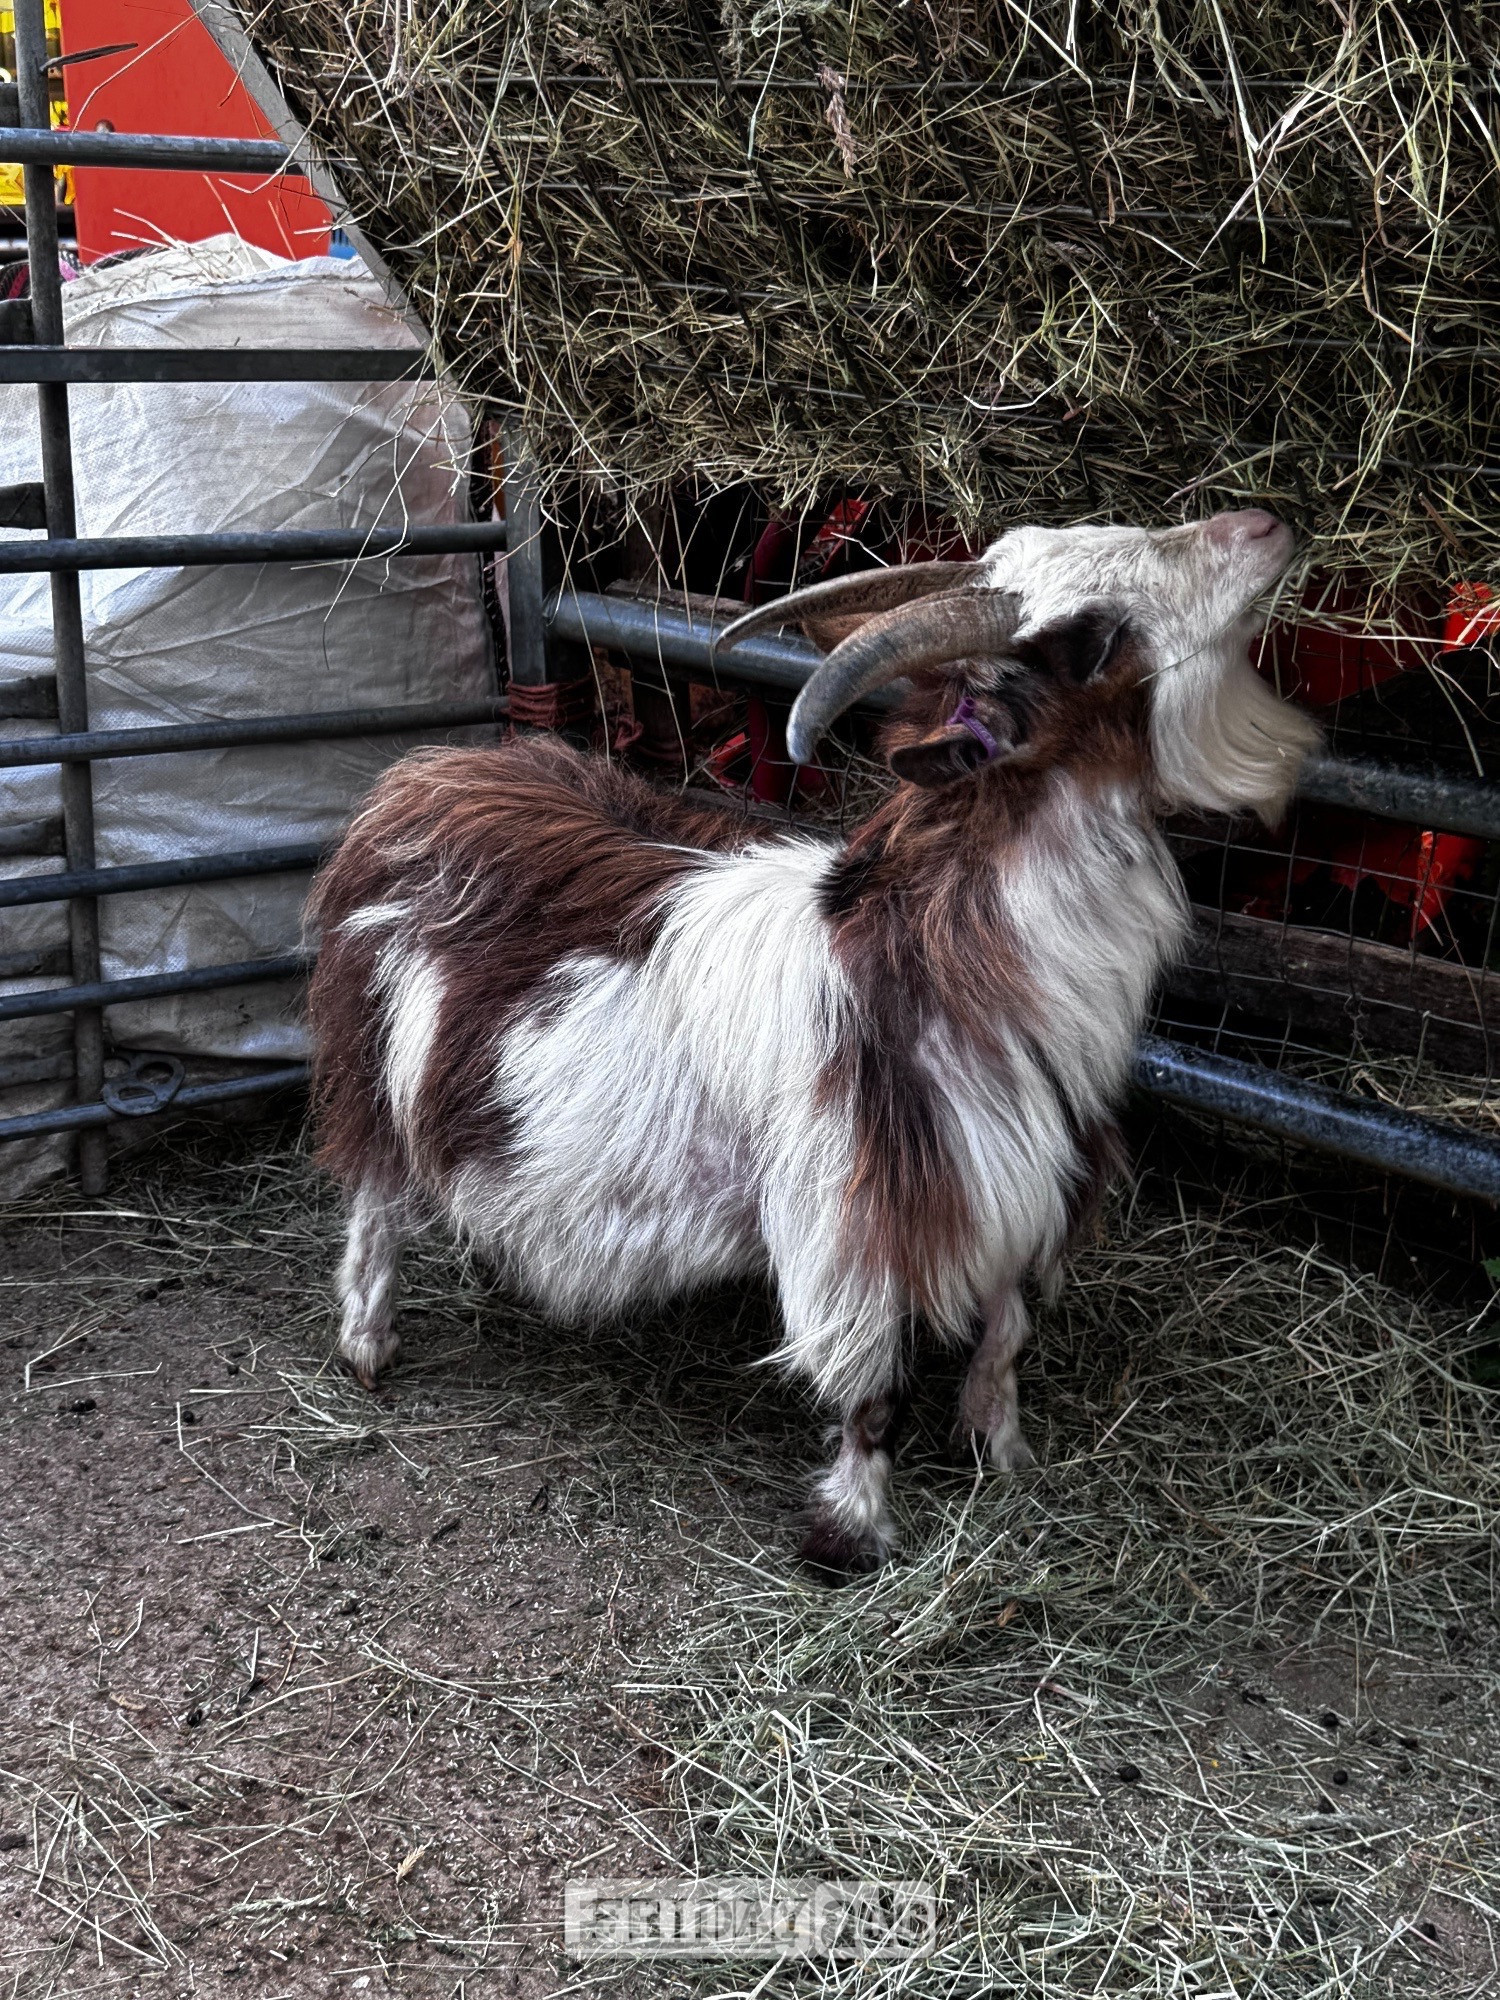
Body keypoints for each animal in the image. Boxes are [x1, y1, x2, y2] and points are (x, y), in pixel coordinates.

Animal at [307, 510, 1317, 1574]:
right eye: (1092, 638)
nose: (1263, 524)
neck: (934, 961)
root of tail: (427, 778)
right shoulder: (855, 1217)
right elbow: (871, 1388)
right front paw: (854, 1531)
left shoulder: (1022, 1179)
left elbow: (1006, 1330)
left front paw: (1002, 1452)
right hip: (378, 1056)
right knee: (374, 1195)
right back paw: (368, 1344)